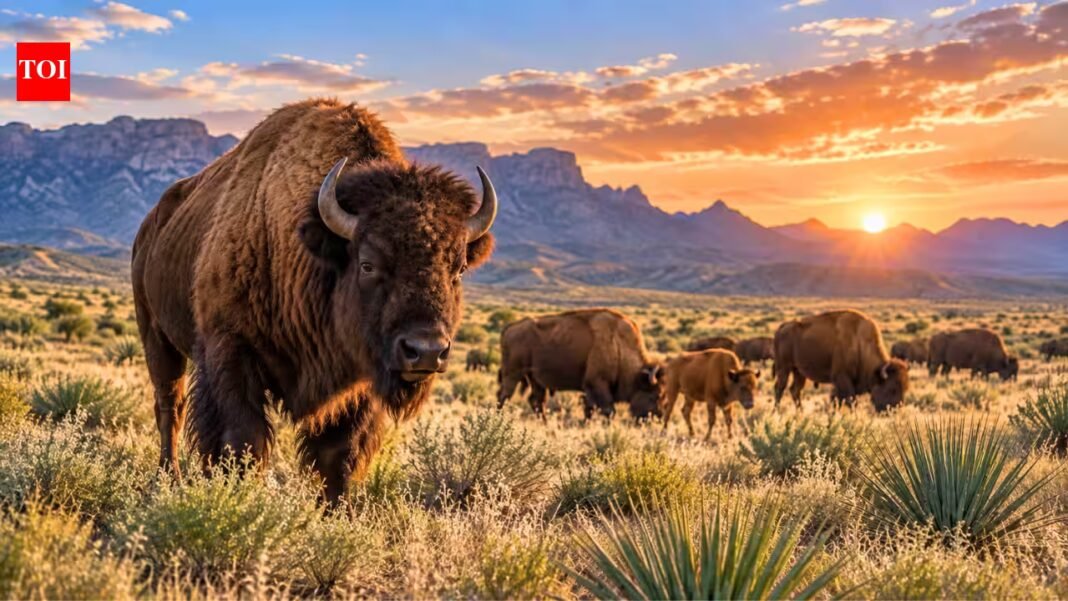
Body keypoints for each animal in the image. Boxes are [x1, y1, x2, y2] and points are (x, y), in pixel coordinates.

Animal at [132, 99, 497, 501]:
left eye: (458, 269)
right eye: (368, 263)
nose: (427, 351)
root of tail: (150, 225)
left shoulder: (358, 382)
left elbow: (338, 457)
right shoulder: (229, 352)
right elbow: (243, 442)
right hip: (157, 337)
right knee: (169, 406)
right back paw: (168, 477)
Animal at [497, 309, 663, 420]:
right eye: (654, 395)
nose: (657, 417)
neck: (618, 345)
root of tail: (509, 328)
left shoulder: (589, 391)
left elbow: (589, 410)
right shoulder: (597, 384)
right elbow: (608, 411)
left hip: (535, 379)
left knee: (537, 401)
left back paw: (544, 424)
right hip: (512, 374)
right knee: (504, 396)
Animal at [773, 310, 909, 411]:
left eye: (905, 389)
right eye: (892, 389)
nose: (895, 410)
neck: (860, 343)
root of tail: (782, 328)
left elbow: (836, 400)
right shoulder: (842, 378)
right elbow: (851, 401)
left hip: (799, 371)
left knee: (795, 390)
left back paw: (800, 413)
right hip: (784, 367)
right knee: (779, 388)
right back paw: (777, 412)